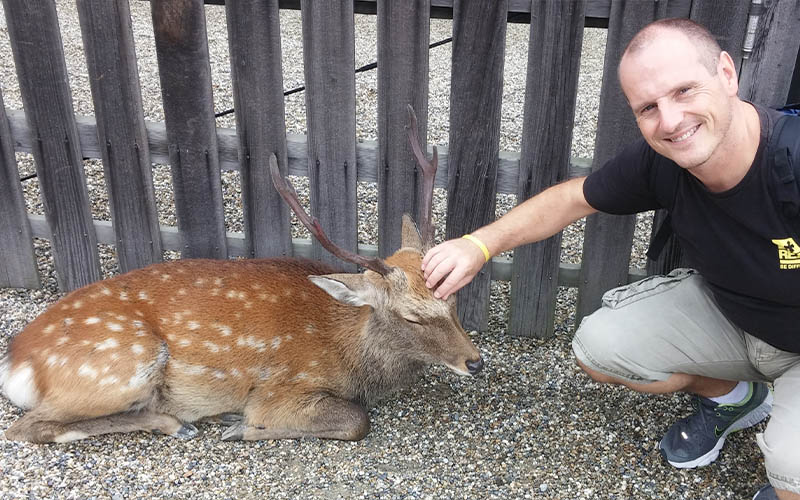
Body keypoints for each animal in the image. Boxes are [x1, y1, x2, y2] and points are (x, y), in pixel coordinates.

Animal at [0, 106, 484, 443]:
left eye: (454, 298)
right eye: (412, 317)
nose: (475, 362)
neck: (349, 353)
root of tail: (16, 360)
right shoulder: (284, 387)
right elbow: (355, 421)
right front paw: (242, 426)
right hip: (117, 367)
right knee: (29, 427)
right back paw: (176, 422)